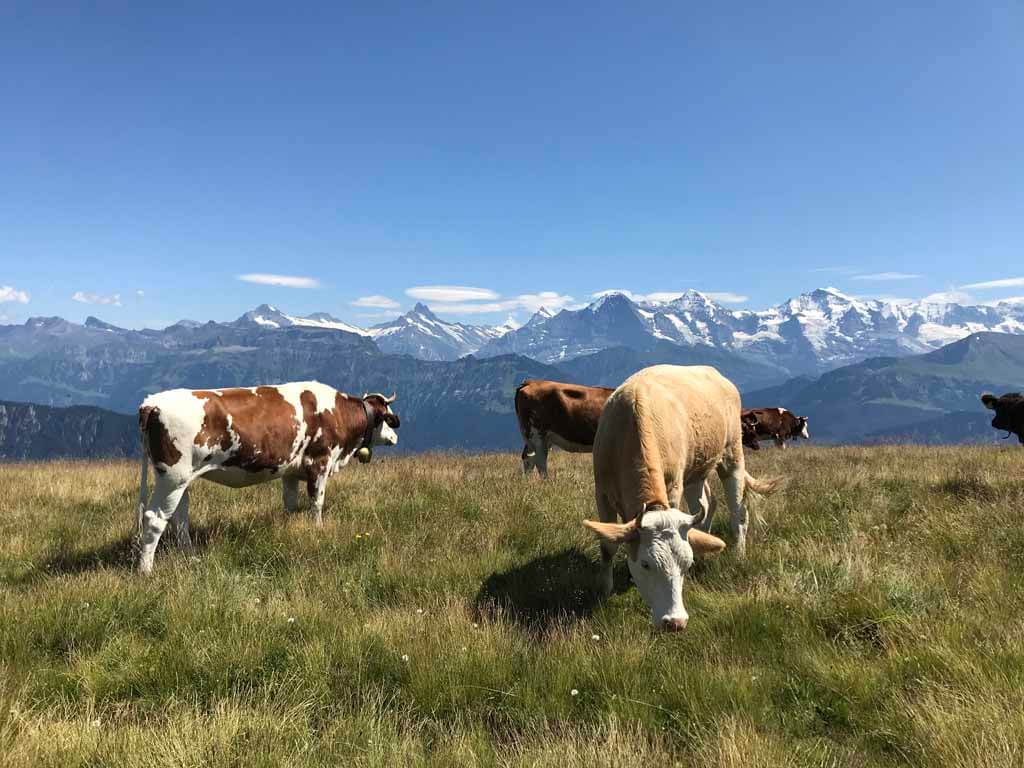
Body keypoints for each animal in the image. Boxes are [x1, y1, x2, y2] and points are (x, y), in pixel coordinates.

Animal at [138, 382, 401, 573]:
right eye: (388, 417)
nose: (395, 437)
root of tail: (152, 403)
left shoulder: (291, 471)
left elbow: (290, 504)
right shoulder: (319, 462)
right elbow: (317, 502)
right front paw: (318, 530)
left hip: (181, 480)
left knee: (179, 517)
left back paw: (189, 556)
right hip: (173, 477)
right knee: (155, 519)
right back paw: (146, 570)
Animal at [581, 366, 778, 630]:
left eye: (686, 565)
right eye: (646, 564)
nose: (675, 622)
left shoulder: (673, 486)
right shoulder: (601, 492)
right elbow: (607, 546)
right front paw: (604, 590)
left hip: (732, 453)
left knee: (738, 511)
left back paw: (738, 554)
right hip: (698, 470)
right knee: (706, 503)